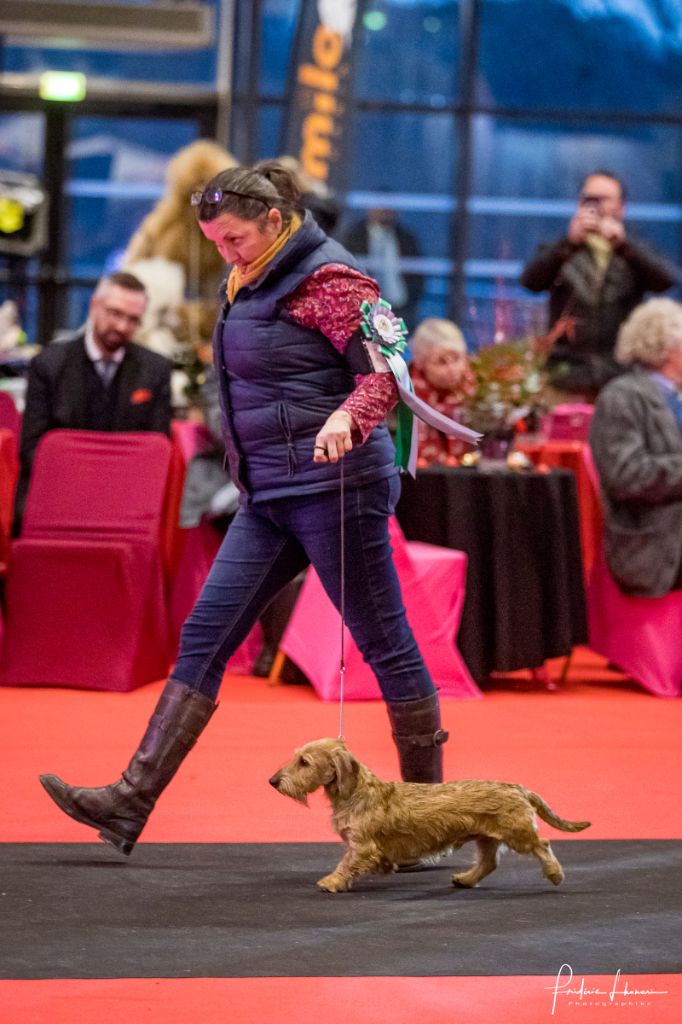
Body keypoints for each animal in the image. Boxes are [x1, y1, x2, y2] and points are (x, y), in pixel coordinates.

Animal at [268, 741, 585, 892]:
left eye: (304, 762)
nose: (273, 781)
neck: (358, 791)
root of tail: (518, 788)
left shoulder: (362, 845)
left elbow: (346, 863)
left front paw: (332, 881)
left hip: (517, 833)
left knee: (542, 845)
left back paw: (555, 874)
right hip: (486, 837)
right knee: (488, 862)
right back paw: (466, 879)